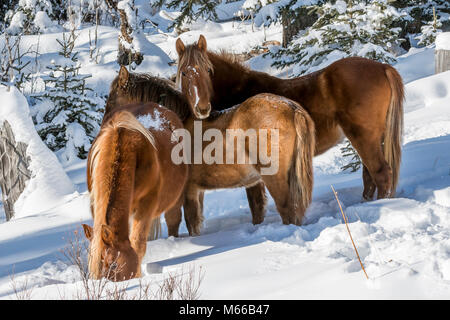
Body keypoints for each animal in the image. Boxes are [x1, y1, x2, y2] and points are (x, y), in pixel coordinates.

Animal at [107, 66, 314, 236]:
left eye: (112, 99)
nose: (107, 125)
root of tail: (292, 108)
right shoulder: (196, 190)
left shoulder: (184, 192)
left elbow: (182, 222)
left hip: (274, 178)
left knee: (287, 210)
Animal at [176, 35, 404, 204]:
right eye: (184, 73)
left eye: (208, 70)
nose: (202, 108)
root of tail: (383, 67)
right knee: (370, 176)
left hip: (363, 136)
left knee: (381, 173)